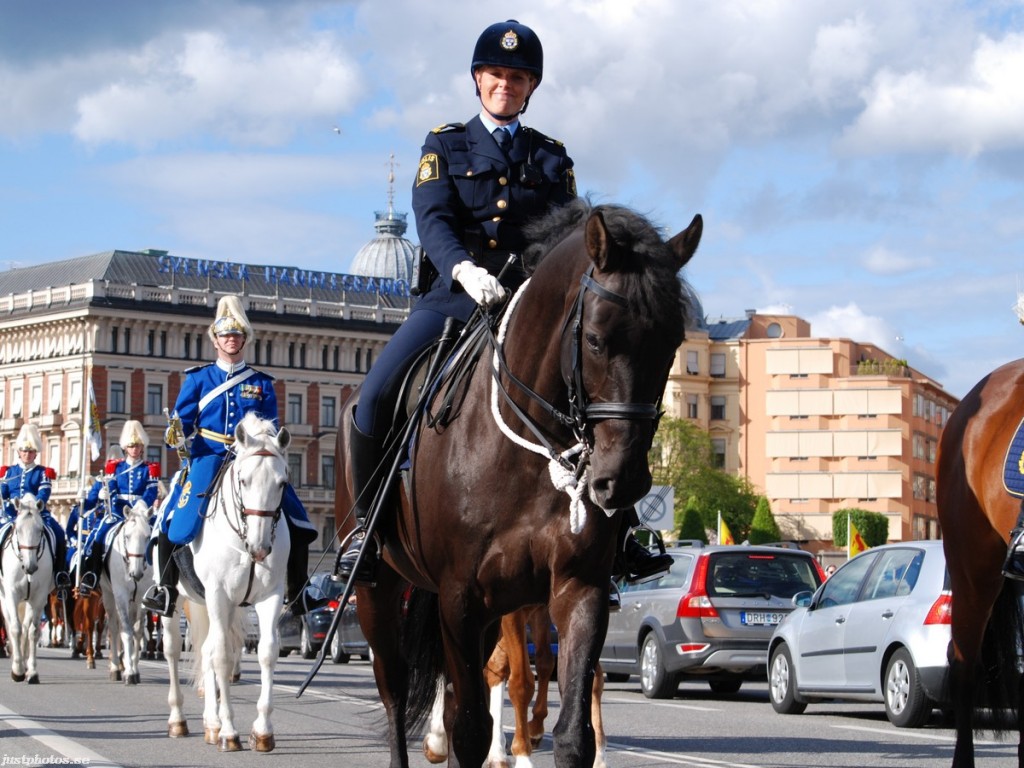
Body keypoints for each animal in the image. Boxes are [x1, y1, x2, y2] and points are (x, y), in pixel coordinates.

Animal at [0, 493, 54, 684]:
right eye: (19, 530)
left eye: (40, 530)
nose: (31, 567)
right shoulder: (11, 594)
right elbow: (15, 628)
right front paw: (17, 670)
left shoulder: (39, 597)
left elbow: (32, 632)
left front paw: (31, 672)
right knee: (11, 625)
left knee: (26, 628)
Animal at [100, 501, 153, 688]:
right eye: (128, 536)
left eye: (147, 537)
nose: (136, 573)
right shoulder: (121, 595)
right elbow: (126, 631)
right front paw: (129, 672)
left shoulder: (142, 597)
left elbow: (137, 631)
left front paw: (134, 669)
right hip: (108, 595)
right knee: (114, 628)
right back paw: (116, 667)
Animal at [156, 411, 292, 753]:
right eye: (244, 480)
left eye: (282, 483)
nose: (260, 548)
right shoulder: (218, 596)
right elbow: (221, 657)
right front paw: (231, 732)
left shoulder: (269, 597)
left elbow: (266, 652)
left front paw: (262, 730)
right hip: (177, 602)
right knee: (173, 649)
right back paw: (179, 720)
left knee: (206, 649)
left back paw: (211, 724)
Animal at [335, 199, 704, 768]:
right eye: (596, 339)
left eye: (673, 344)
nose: (620, 482)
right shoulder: (460, 599)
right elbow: (471, 725)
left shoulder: (577, 588)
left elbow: (572, 730)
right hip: (380, 588)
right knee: (395, 687)